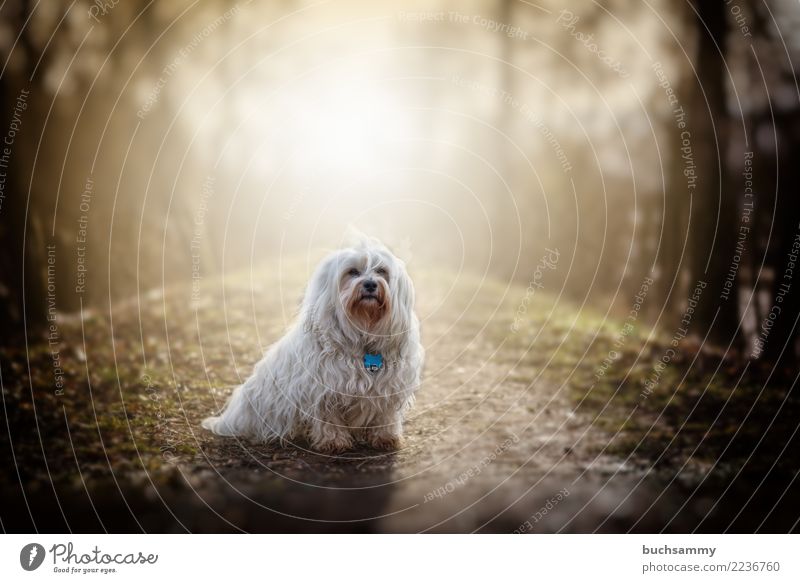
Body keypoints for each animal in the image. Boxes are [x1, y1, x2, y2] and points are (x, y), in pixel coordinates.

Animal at [202, 240, 424, 454]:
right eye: (352, 272)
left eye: (381, 271)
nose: (370, 284)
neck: (363, 332)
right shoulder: (324, 391)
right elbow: (329, 420)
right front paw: (334, 442)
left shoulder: (388, 388)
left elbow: (385, 417)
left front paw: (386, 438)